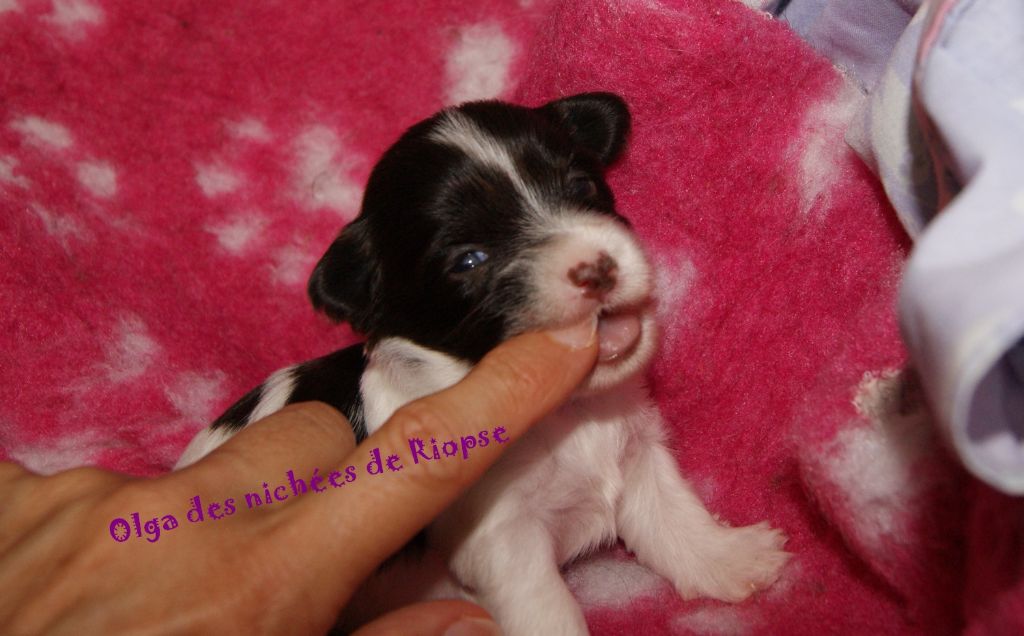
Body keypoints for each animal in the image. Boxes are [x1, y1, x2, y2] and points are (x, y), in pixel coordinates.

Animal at [176, 93, 789, 635]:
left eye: (582, 185)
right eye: (470, 260)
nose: (598, 270)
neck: (570, 417)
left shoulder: (637, 452)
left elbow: (671, 515)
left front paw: (733, 559)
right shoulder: (502, 538)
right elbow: (548, 611)